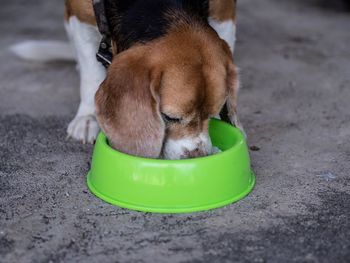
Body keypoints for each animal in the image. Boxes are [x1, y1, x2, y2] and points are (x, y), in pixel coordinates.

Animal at [10, 0, 241, 160]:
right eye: (169, 117)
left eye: (210, 115)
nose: (198, 157)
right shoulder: (78, 17)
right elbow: (90, 72)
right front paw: (88, 117)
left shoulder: (224, 11)